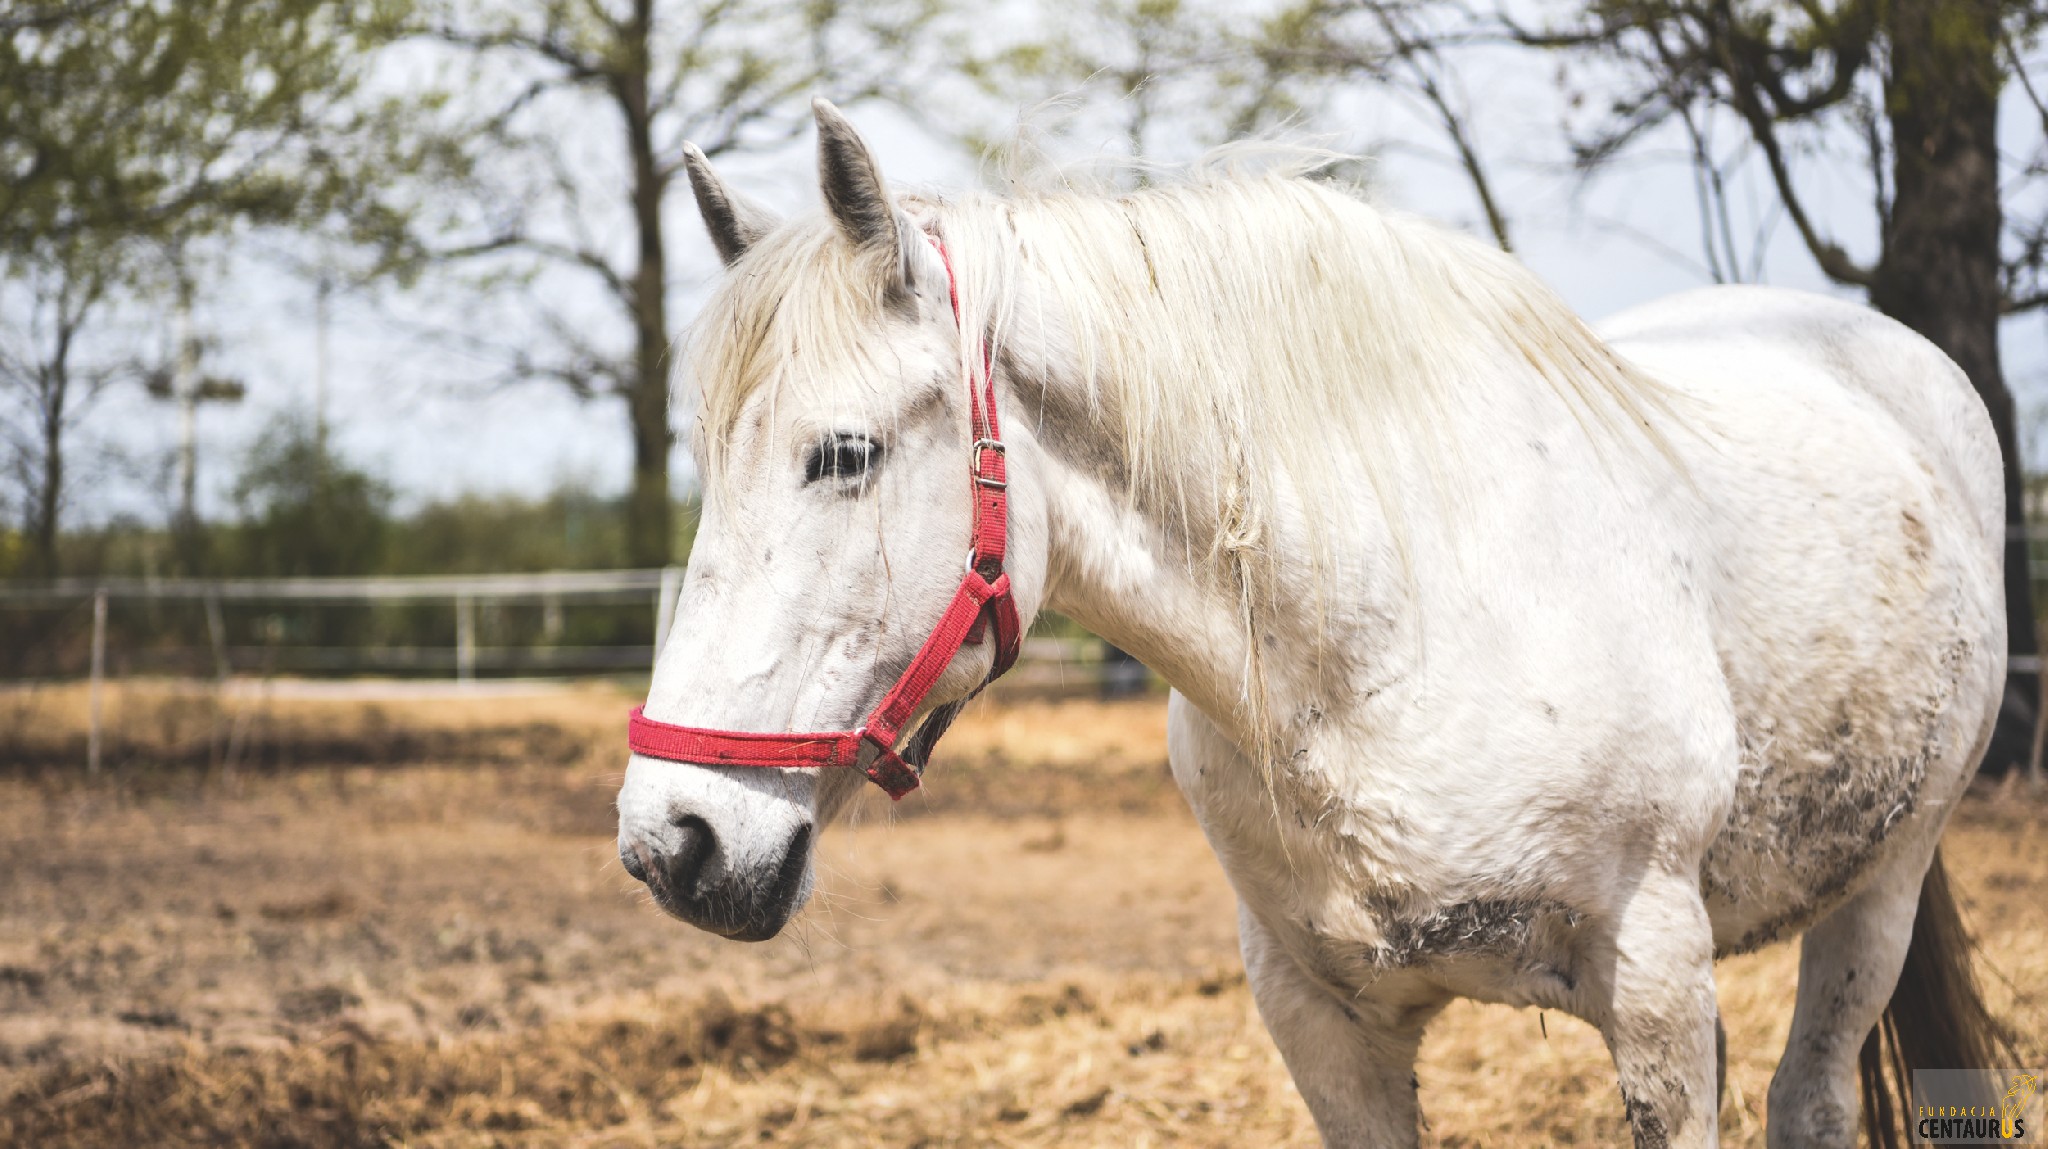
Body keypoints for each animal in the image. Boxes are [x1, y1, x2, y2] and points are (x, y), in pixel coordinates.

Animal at [614, 100, 2007, 1146]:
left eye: (841, 454)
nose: (670, 841)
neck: (1385, 646)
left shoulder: (1657, 985)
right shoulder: (1319, 1023)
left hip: (1876, 893)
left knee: (1809, 1096)